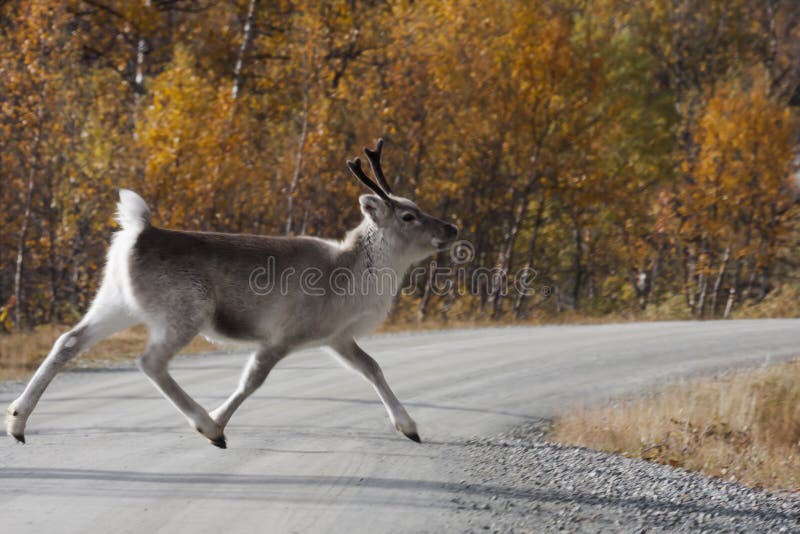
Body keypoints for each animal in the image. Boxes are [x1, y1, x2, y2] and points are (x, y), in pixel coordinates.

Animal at [6, 139, 458, 448]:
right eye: (409, 215)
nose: (451, 228)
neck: (353, 280)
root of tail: (136, 232)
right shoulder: (284, 334)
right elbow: (252, 380)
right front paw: (218, 422)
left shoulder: (336, 337)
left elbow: (373, 368)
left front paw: (410, 427)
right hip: (184, 309)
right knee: (150, 361)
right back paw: (206, 425)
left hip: (114, 301)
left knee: (68, 340)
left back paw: (16, 421)